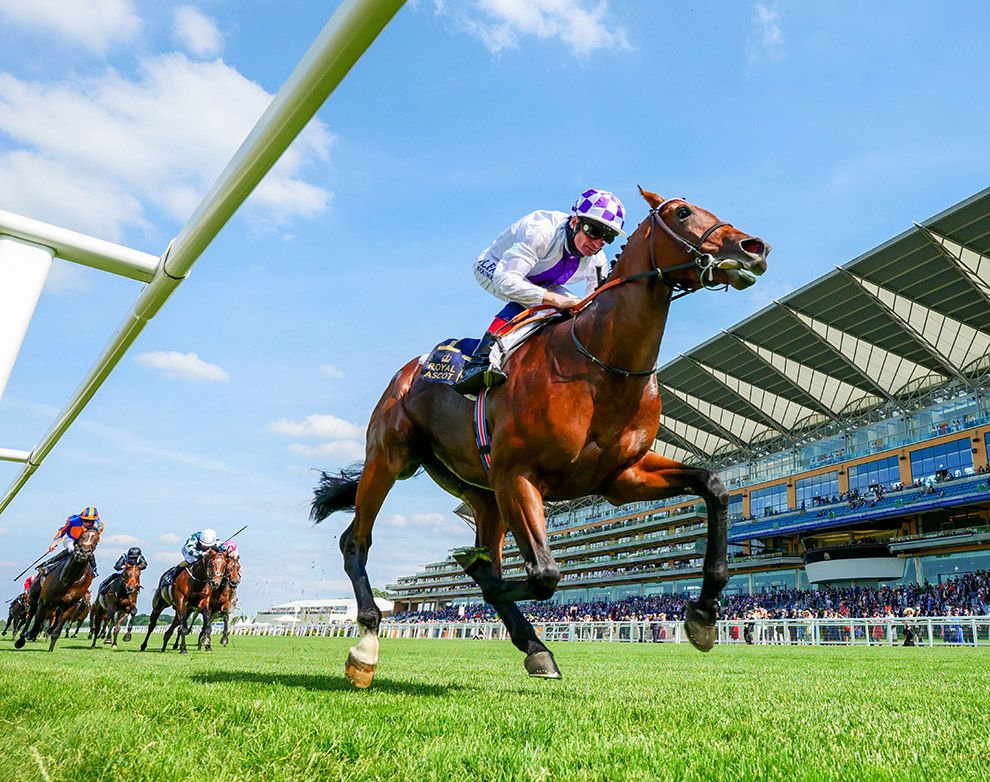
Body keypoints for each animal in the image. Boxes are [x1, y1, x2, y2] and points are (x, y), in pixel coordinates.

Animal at [314, 188, 772, 688]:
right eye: (683, 212)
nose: (754, 248)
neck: (600, 365)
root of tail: (409, 371)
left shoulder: (621, 476)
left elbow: (714, 486)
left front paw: (704, 616)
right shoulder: (519, 475)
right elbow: (543, 574)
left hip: (482, 493)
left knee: (486, 557)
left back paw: (534, 645)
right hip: (390, 457)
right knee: (356, 542)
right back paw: (367, 644)